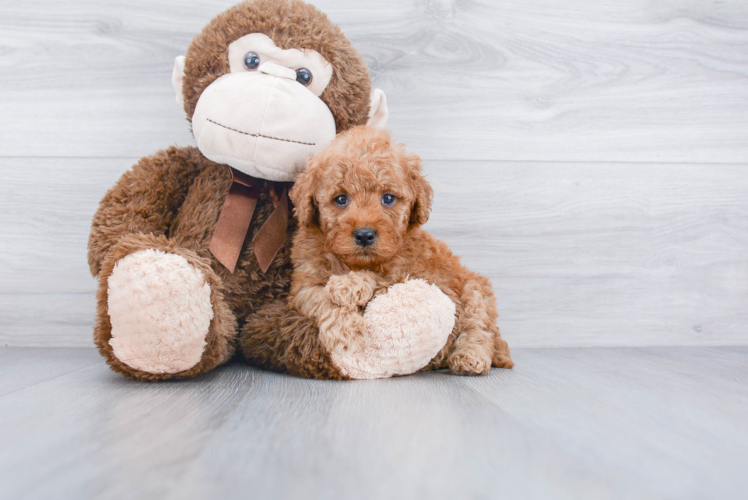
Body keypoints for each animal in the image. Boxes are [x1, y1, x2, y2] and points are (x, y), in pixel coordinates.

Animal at [243, 125, 512, 376]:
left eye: (388, 198)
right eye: (341, 199)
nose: (364, 235)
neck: (352, 262)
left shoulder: (412, 271)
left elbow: (379, 276)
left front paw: (349, 284)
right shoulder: (303, 285)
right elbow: (321, 299)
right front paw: (345, 331)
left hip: (475, 290)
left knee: (479, 328)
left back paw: (470, 357)